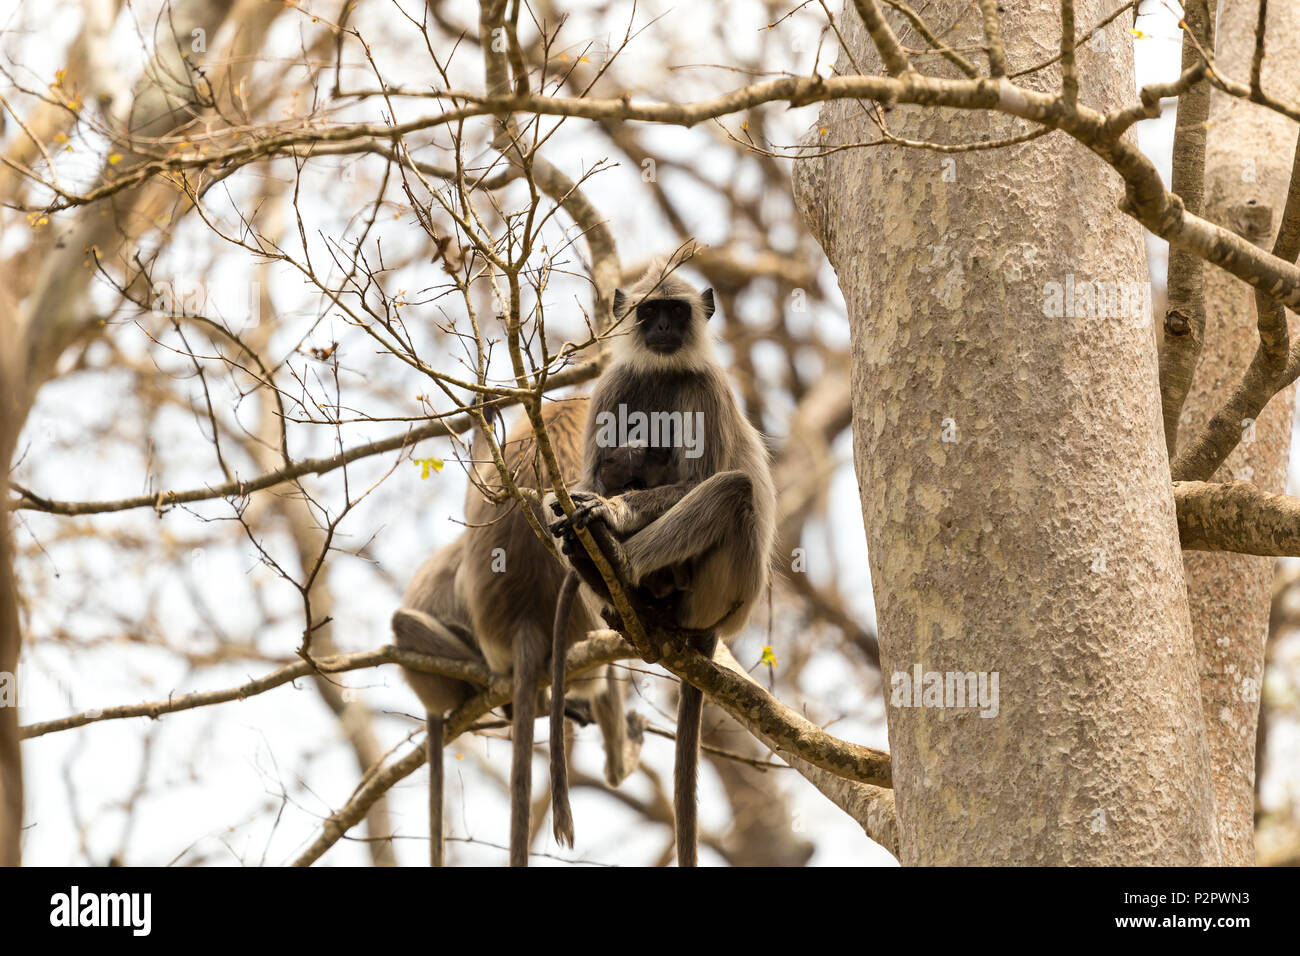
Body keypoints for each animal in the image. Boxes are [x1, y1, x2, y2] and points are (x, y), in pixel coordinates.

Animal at [543, 260, 774, 868]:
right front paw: (591, 509)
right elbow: (584, 478)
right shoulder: (614, 385)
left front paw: (608, 514)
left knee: (732, 487)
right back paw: (609, 581)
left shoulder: (706, 389)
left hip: (724, 588)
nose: (664, 329)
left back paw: (618, 563)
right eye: (650, 313)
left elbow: (698, 479)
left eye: (676, 311)